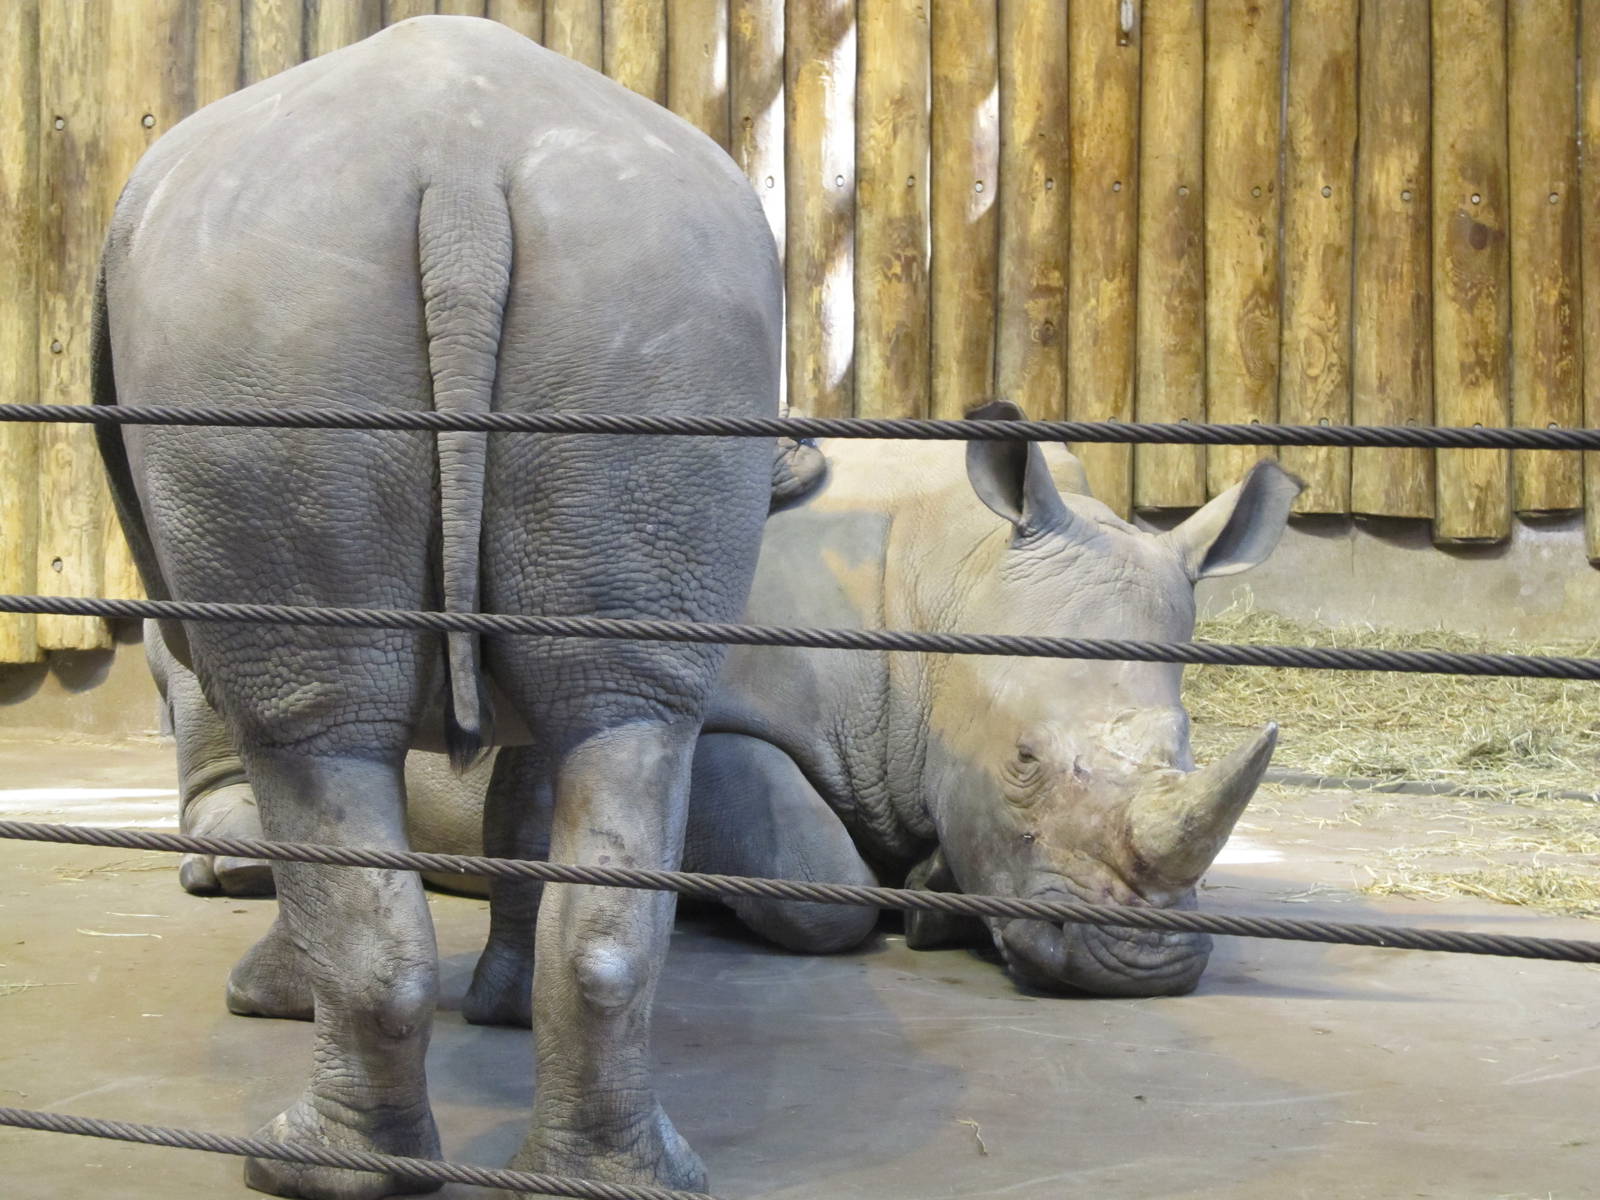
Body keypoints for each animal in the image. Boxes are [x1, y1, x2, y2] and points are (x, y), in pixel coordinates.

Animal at [95, 17, 780, 1199]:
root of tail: (460, 168)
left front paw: (271, 999)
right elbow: (529, 796)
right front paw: (503, 1012)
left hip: (270, 314)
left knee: (310, 737)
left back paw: (299, 1164)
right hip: (652, 317)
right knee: (628, 722)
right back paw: (620, 1175)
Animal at [163, 411, 1300, 1010]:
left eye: (1190, 745)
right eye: (1021, 758)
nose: (1146, 969)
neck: (949, 582)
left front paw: (937, 886)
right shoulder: (702, 720)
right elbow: (814, 873)